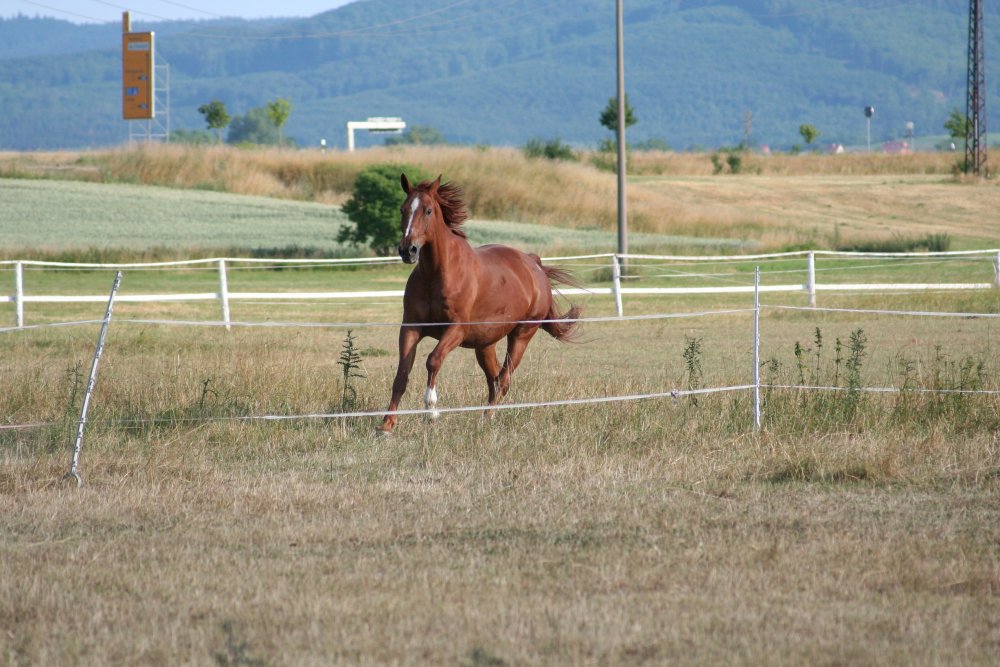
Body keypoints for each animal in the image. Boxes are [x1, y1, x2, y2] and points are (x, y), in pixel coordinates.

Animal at [378, 174, 584, 434]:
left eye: (428, 210)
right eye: (403, 209)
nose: (408, 250)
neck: (437, 274)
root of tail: (534, 265)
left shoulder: (455, 330)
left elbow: (433, 360)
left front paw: (431, 411)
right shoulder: (411, 328)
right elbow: (402, 375)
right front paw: (386, 425)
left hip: (521, 336)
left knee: (504, 379)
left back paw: (487, 418)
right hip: (485, 345)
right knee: (494, 379)